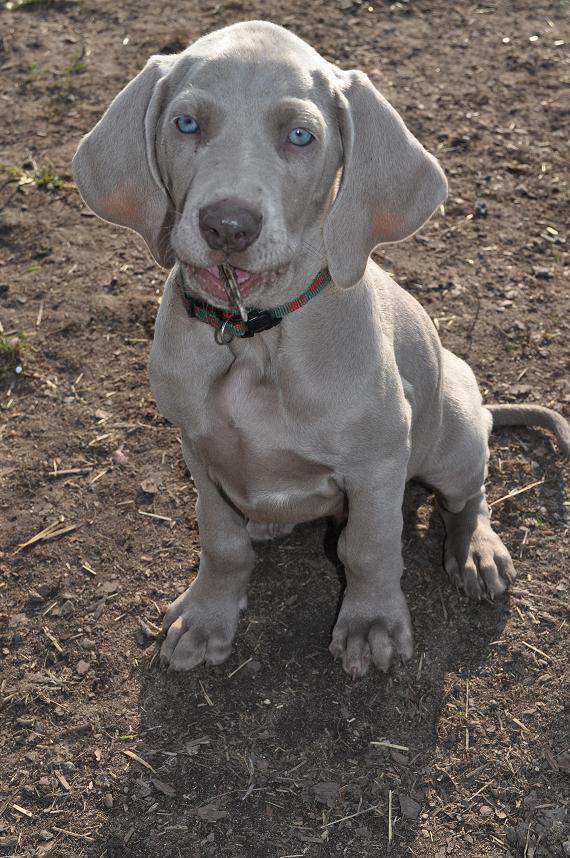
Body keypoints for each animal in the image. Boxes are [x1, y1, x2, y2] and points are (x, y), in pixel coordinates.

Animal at [72, 20, 568, 676]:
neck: (254, 334)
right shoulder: (197, 449)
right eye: (187, 124)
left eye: (300, 136)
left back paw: (475, 552)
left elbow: (368, 548)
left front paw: (370, 624)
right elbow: (221, 543)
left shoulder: (377, 463)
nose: (227, 226)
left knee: (470, 495)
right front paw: (207, 617)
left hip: (453, 435)